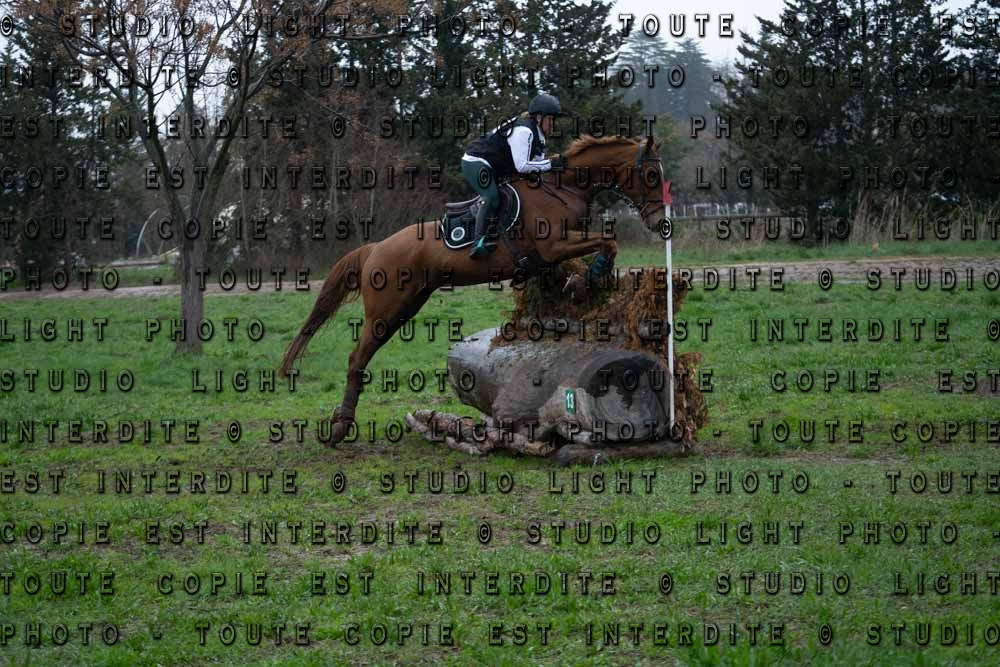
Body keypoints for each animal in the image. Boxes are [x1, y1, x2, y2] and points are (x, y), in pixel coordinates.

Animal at [278, 134, 667, 444]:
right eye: (651, 175)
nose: (659, 222)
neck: (564, 188)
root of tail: (375, 248)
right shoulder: (553, 246)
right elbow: (608, 240)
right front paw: (591, 276)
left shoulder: (552, 255)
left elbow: (588, 256)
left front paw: (579, 283)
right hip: (386, 311)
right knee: (356, 358)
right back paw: (340, 427)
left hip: (408, 304)